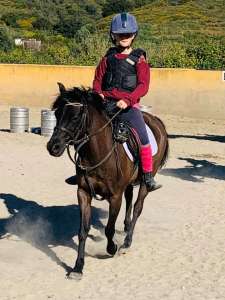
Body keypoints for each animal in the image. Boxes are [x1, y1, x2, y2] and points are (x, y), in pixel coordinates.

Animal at [46, 82, 168, 278]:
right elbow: (83, 230)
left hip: (145, 182)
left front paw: (112, 248)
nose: (53, 146)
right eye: (57, 114)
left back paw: (126, 243)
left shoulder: (114, 196)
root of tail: (156, 121)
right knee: (129, 199)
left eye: (75, 117)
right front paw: (78, 267)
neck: (97, 153)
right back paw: (125, 227)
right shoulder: (83, 192)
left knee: (137, 207)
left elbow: (109, 228)